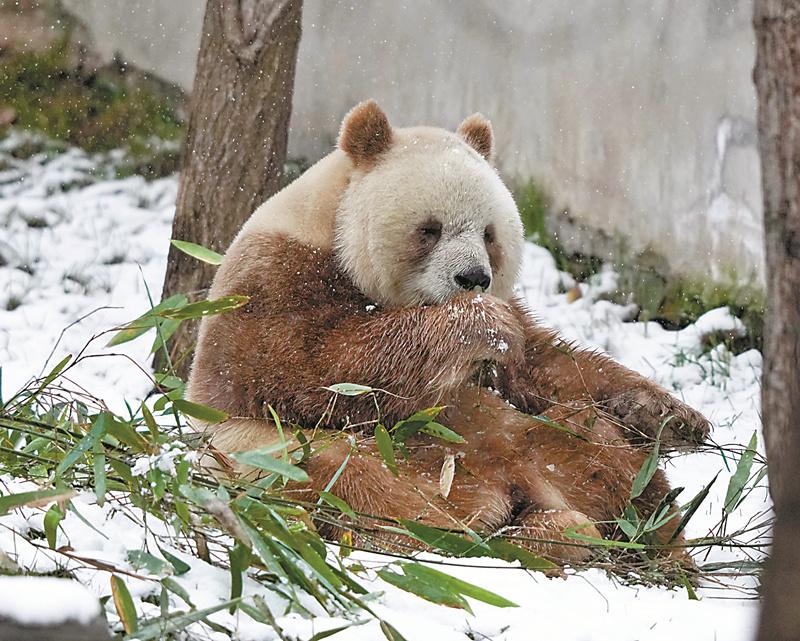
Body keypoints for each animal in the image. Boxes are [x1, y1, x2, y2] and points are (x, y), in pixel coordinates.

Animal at [186, 100, 708, 560]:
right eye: (429, 229)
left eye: (489, 234)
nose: (473, 278)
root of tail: (515, 487)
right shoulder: (272, 277)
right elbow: (303, 367)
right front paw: (476, 325)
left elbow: (545, 366)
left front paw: (674, 417)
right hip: (310, 459)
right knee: (359, 482)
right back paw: (503, 533)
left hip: (548, 441)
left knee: (608, 451)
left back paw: (643, 539)